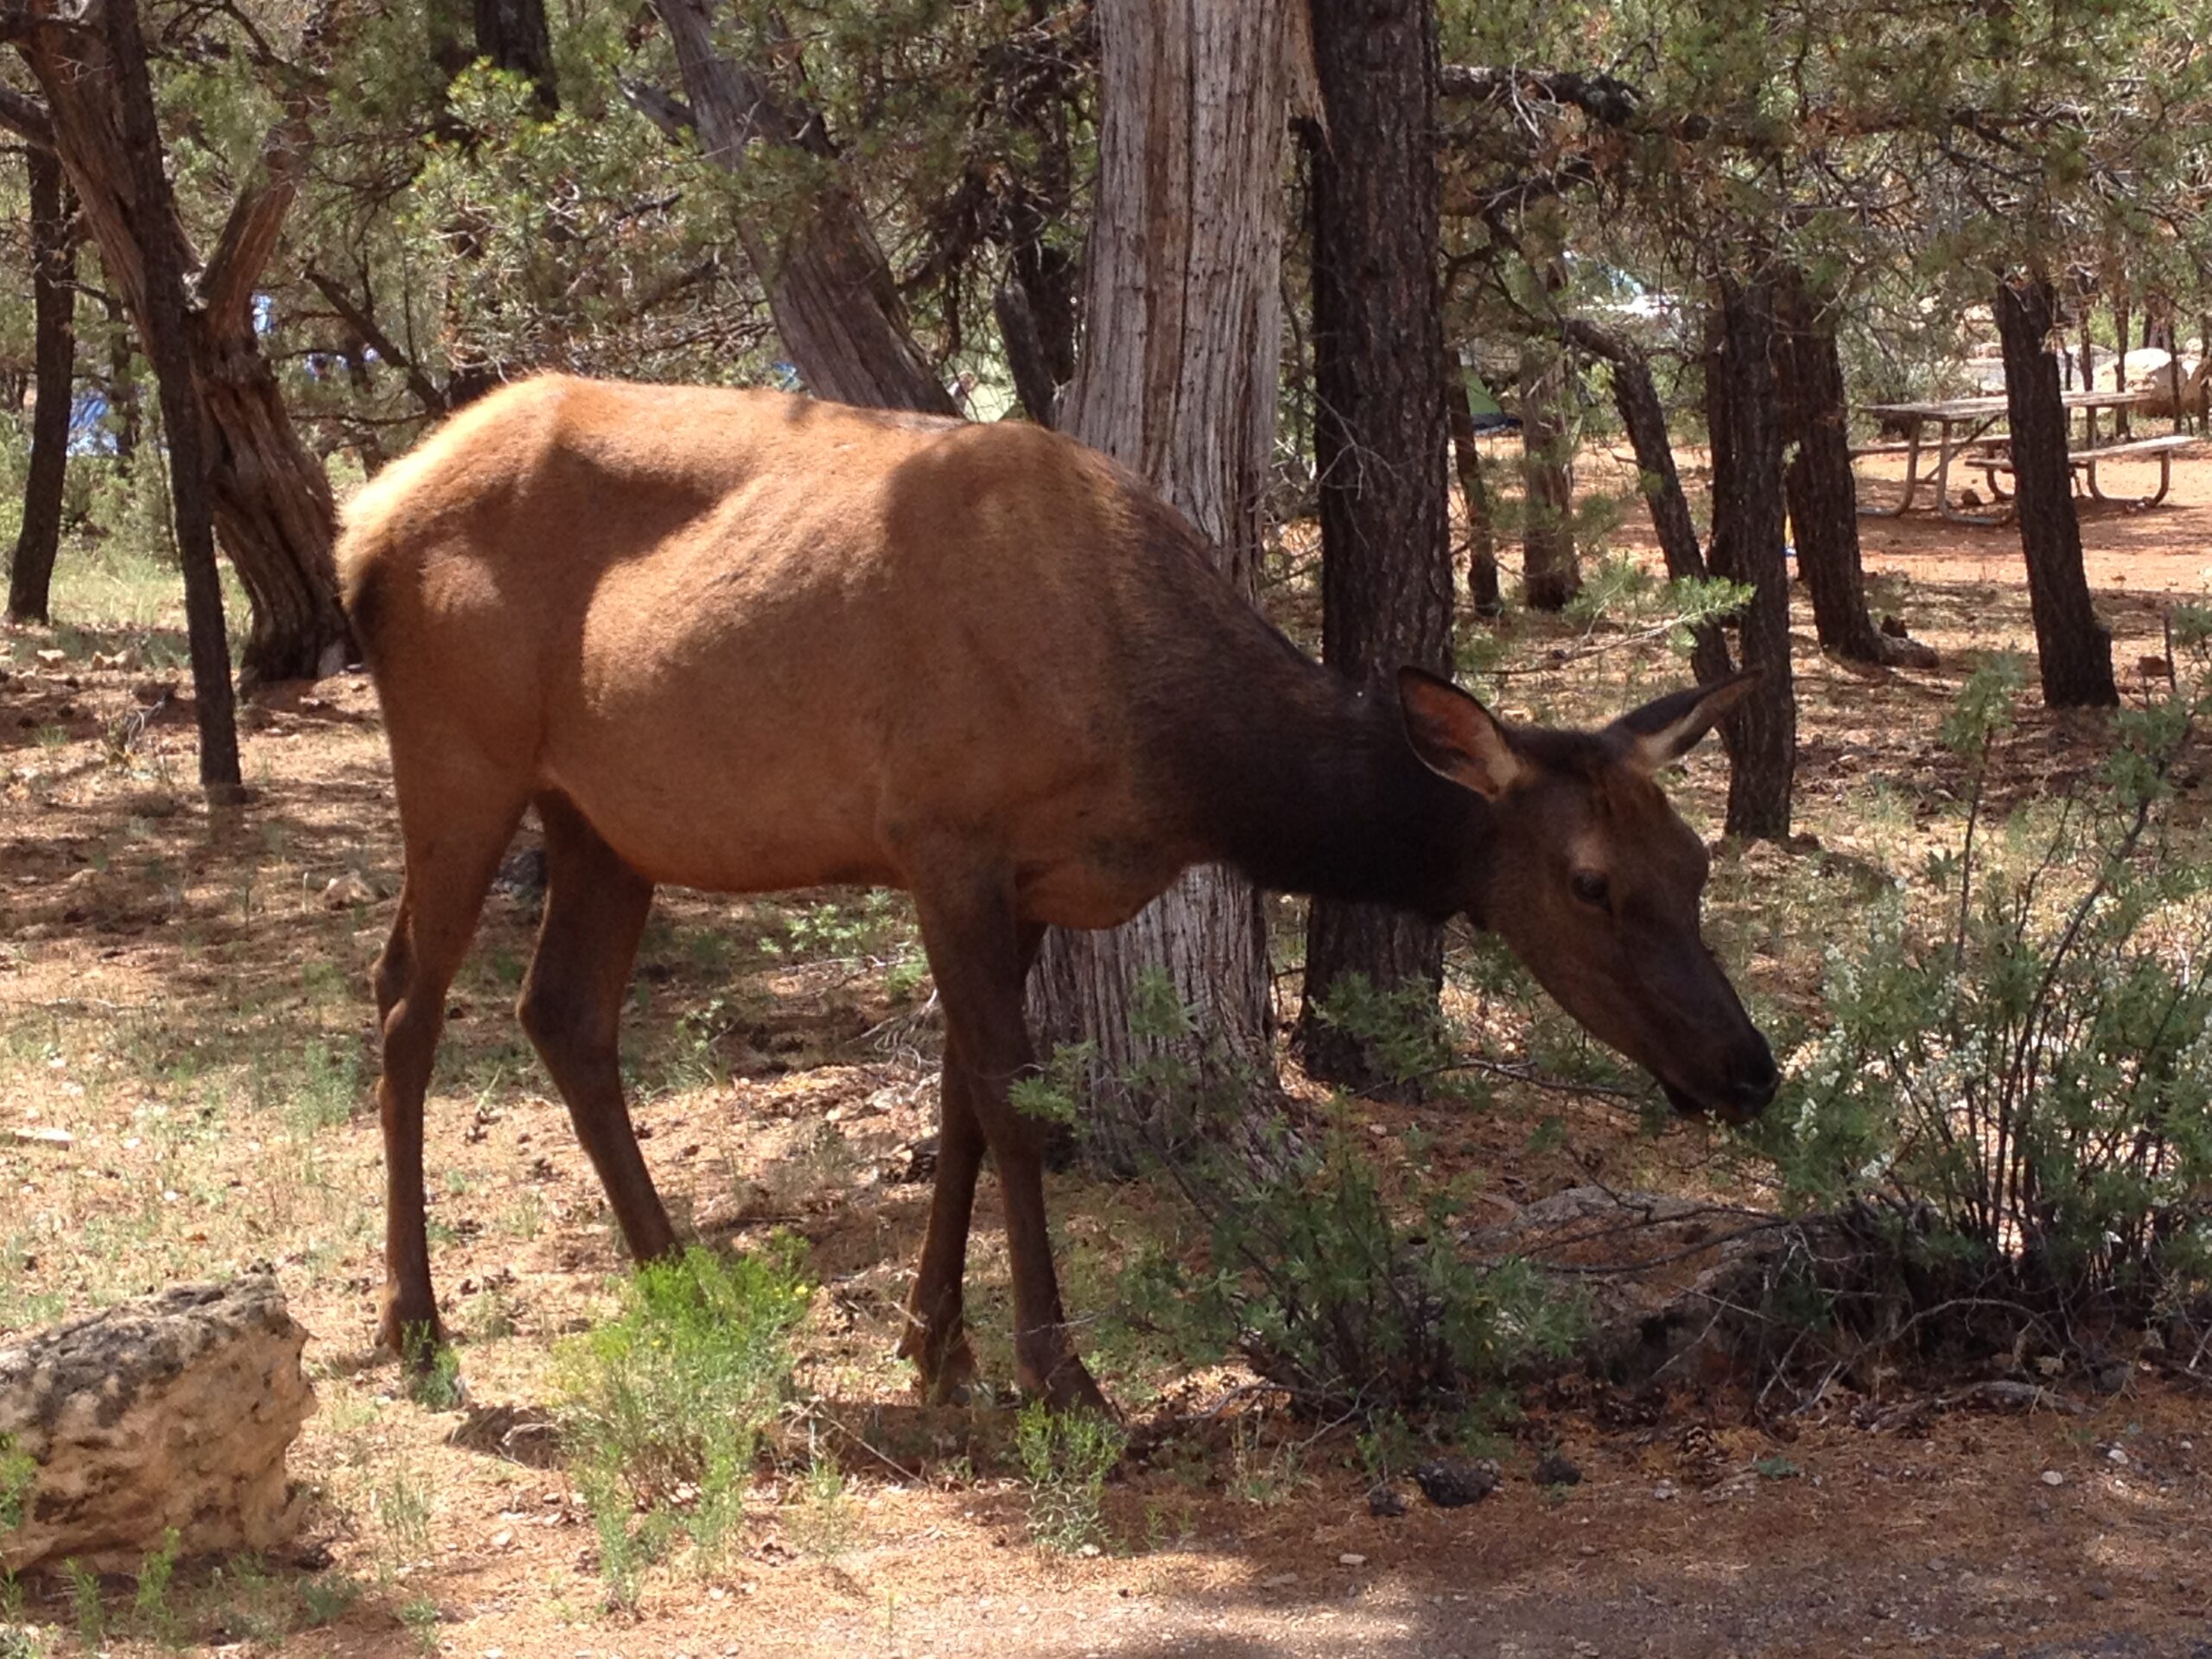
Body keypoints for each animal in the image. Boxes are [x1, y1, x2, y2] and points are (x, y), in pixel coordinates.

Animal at [340, 375, 1779, 1414]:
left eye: (1696, 865)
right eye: (1590, 884)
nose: (1750, 1067)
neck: (1170, 754)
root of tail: (363, 525)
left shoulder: (1024, 880)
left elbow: (967, 1109)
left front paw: (937, 1344)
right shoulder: (944, 838)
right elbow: (1019, 1110)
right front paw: (1057, 1370)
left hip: (603, 814)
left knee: (562, 1013)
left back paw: (679, 1282)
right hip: (461, 753)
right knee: (406, 995)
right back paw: (415, 1328)